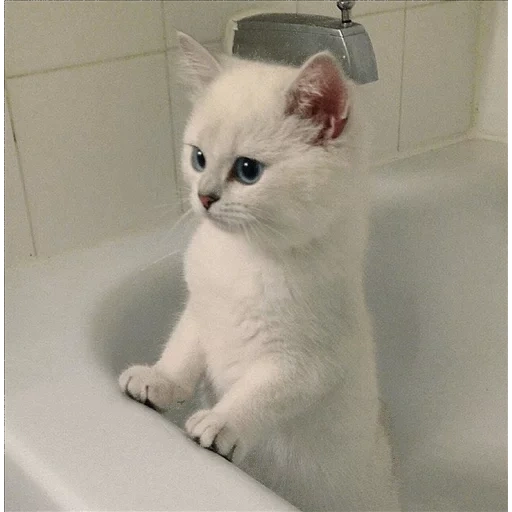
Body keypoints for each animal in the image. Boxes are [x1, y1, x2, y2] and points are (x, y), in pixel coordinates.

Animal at [120, 33, 400, 512]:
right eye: (198, 158)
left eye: (247, 170)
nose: (204, 196)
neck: (244, 255)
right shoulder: (201, 311)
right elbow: (182, 352)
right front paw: (159, 382)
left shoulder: (305, 363)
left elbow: (258, 394)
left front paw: (220, 424)